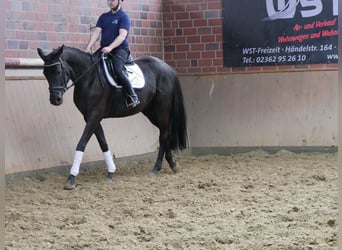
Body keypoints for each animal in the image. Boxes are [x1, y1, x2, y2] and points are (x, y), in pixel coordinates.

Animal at [37, 45, 187, 189]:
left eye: (57, 71)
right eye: (45, 73)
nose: (55, 100)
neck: (89, 77)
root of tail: (168, 67)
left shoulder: (94, 116)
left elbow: (82, 143)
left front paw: (71, 178)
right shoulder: (91, 117)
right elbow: (103, 142)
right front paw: (111, 172)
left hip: (162, 109)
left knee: (164, 134)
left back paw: (156, 168)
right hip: (150, 111)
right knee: (165, 133)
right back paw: (172, 164)